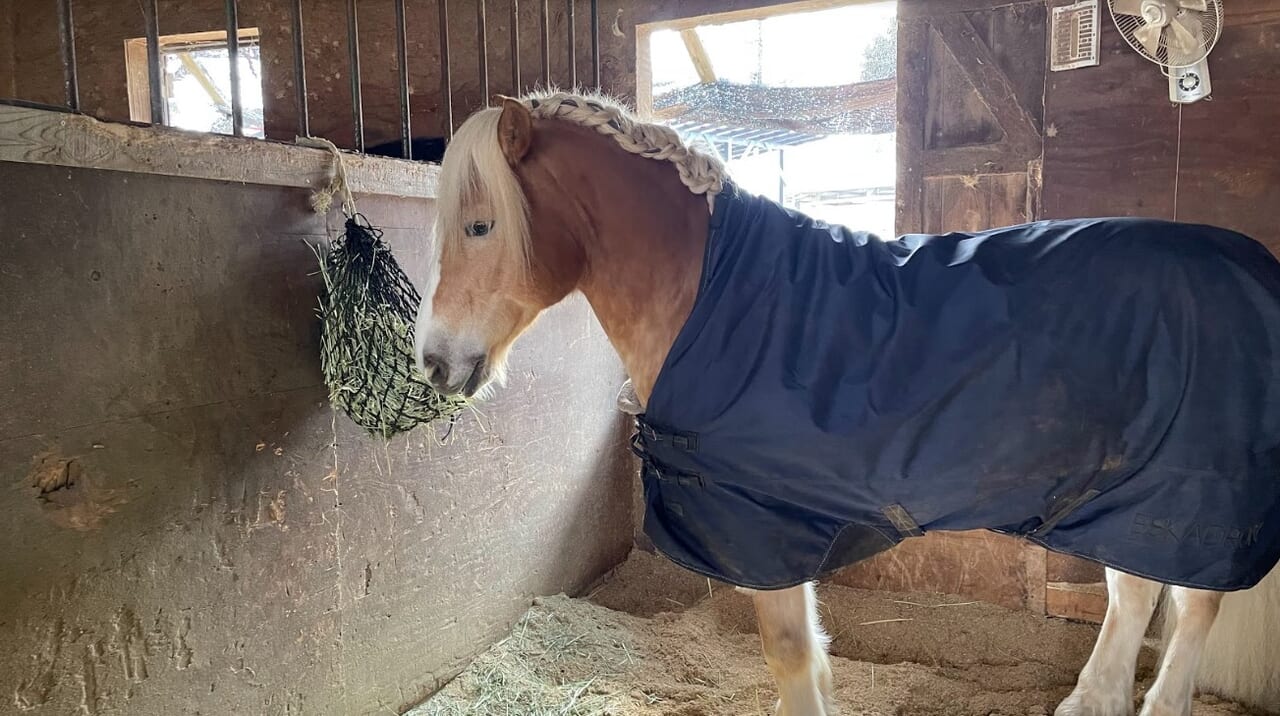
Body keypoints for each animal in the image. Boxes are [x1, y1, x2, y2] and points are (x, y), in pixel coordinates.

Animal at [414, 94, 1274, 716]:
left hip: (1189, 498)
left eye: (480, 225)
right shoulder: (781, 524)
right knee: (1136, 592)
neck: (714, 294)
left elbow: (793, 658)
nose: (434, 360)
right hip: (1126, 495)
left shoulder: (760, 523)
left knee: (1192, 606)